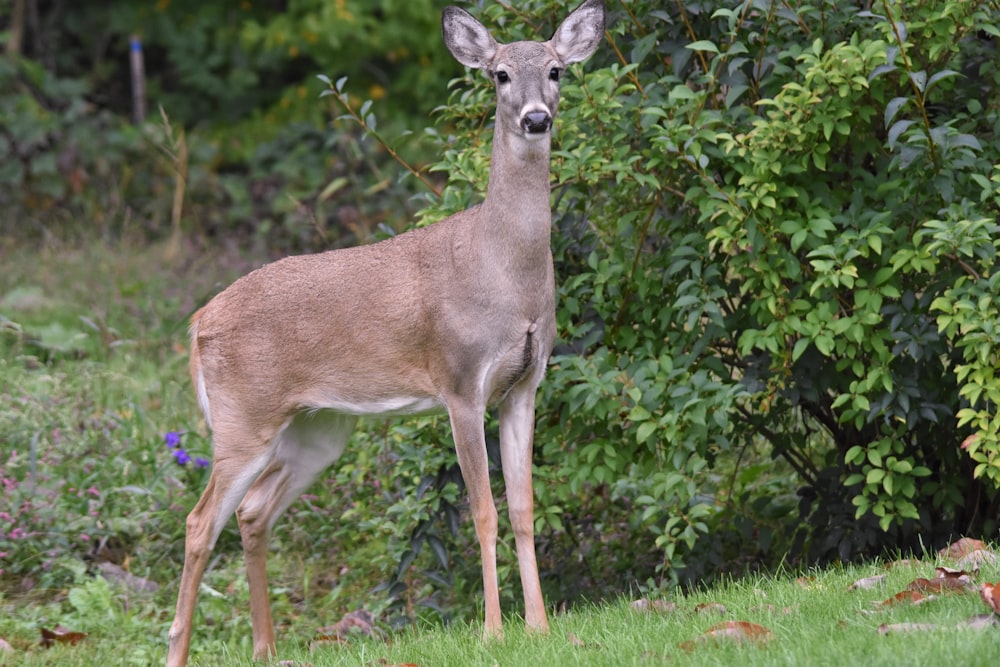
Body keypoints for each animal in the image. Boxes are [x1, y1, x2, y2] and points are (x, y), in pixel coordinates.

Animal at [166, 2, 600, 664]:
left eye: (556, 70)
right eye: (499, 74)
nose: (535, 117)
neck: (505, 269)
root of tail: (197, 323)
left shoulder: (525, 384)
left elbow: (525, 508)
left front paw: (541, 629)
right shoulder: (459, 382)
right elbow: (483, 511)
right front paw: (493, 632)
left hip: (319, 428)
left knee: (253, 512)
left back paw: (267, 647)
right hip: (243, 417)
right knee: (199, 521)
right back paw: (181, 649)